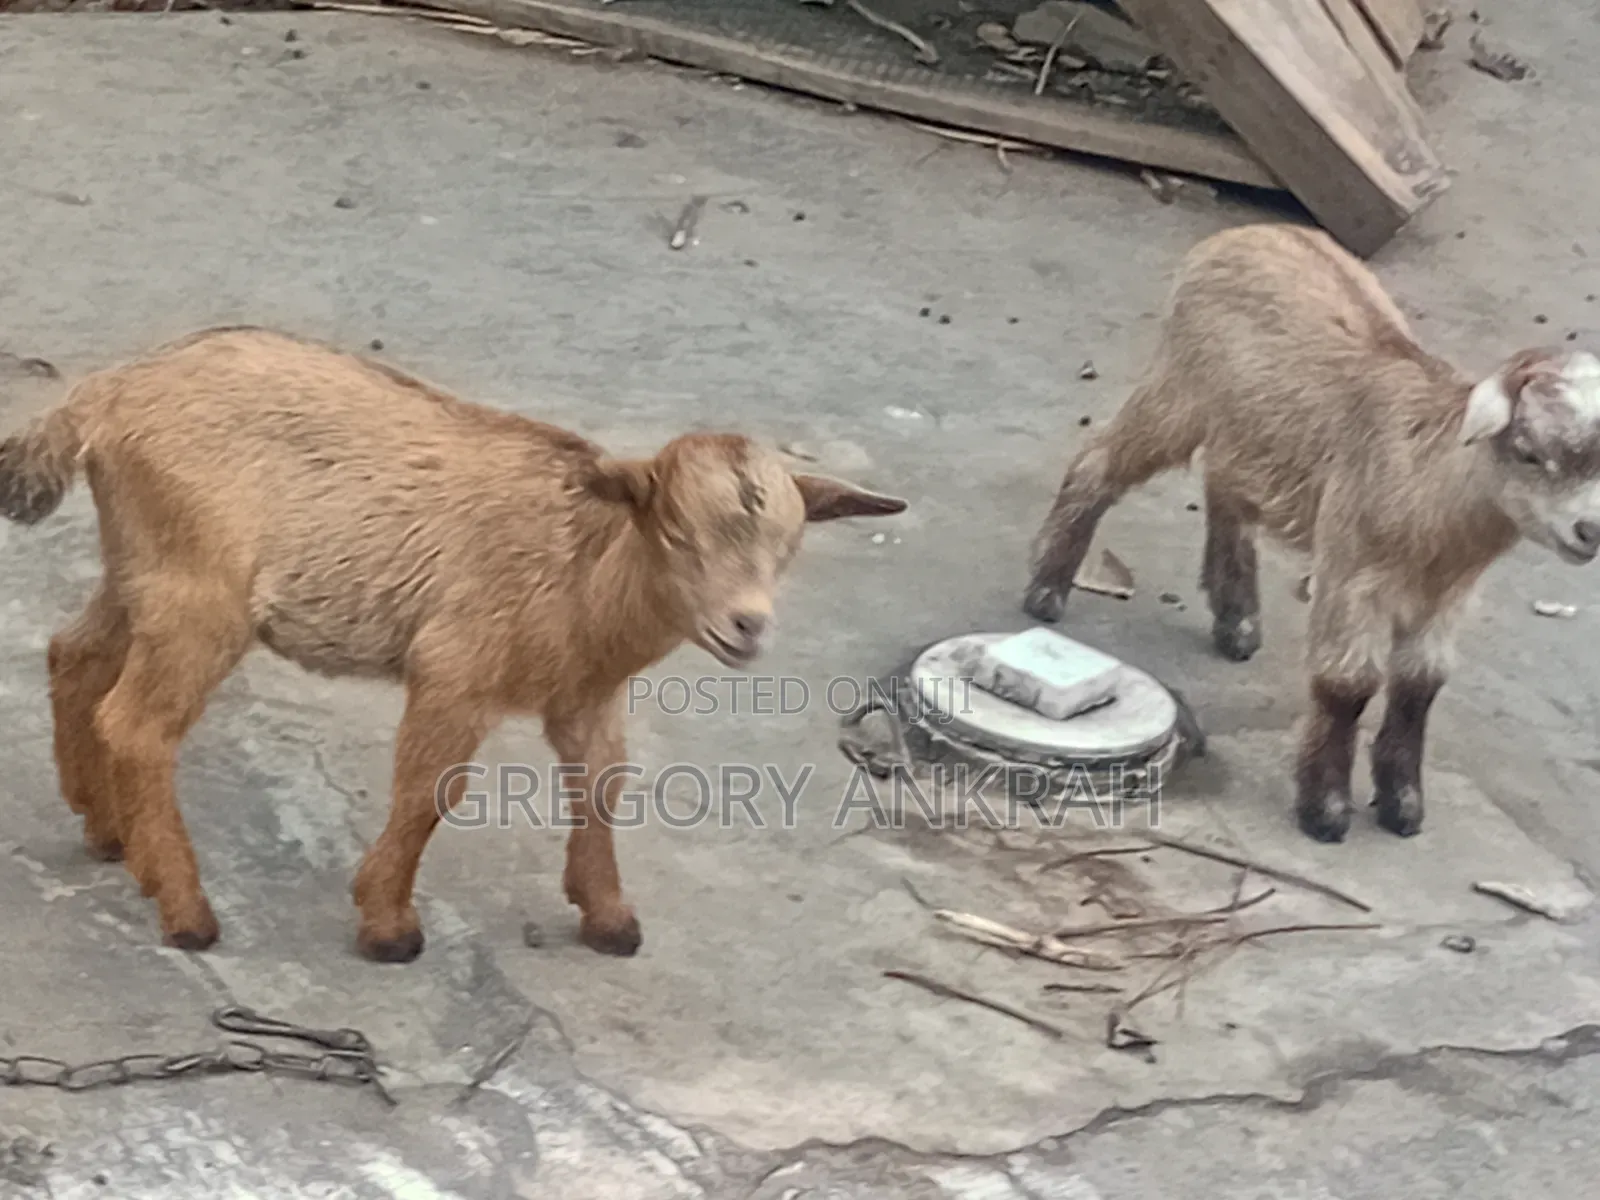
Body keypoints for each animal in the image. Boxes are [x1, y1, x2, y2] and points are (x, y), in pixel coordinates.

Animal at [0, 326, 907, 961]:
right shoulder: (454, 672)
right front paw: (388, 926)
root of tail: (108, 395)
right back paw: (187, 910)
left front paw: (609, 915)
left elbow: (602, 786)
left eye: (788, 546)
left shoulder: (585, 695)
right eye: (678, 534)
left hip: (142, 565)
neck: (581, 569)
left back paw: (107, 831)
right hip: (201, 591)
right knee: (140, 723)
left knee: (76, 656)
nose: (747, 625)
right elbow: (430, 792)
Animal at [1021, 223, 1600, 844]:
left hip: (1249, 425)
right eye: (1528, 452)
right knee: (1100, 461)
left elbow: (1421, 685)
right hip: (1182, 386)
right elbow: (1347, 684)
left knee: (1225, 482)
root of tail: (1247, 232)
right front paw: (1325, 811)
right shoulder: (1352, 568)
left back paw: (1237, 621)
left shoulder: (1447, 598)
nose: (1589, 529)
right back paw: (1048, 590)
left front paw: (1403, 806)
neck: (1433, 494)